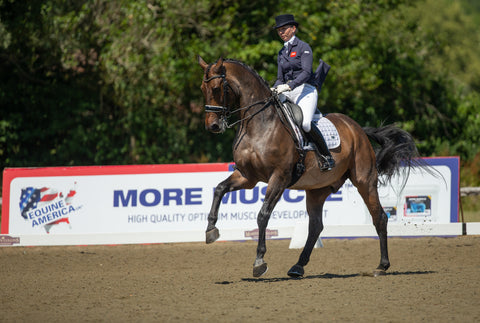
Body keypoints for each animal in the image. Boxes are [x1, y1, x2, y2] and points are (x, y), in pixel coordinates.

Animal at [197, 55, 422, 278]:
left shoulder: (279, 177)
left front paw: (259, 261)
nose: (212, 126)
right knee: (316, 226)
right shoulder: (247, 176)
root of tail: (358, 129)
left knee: (380, 217)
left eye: (216, 88)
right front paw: (210, 230)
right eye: (202, 88)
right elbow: (219, 189)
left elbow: (263, 214)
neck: (258, 125)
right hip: (317, 189)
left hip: (364, 181)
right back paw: (298, 266)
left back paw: (382, 266)